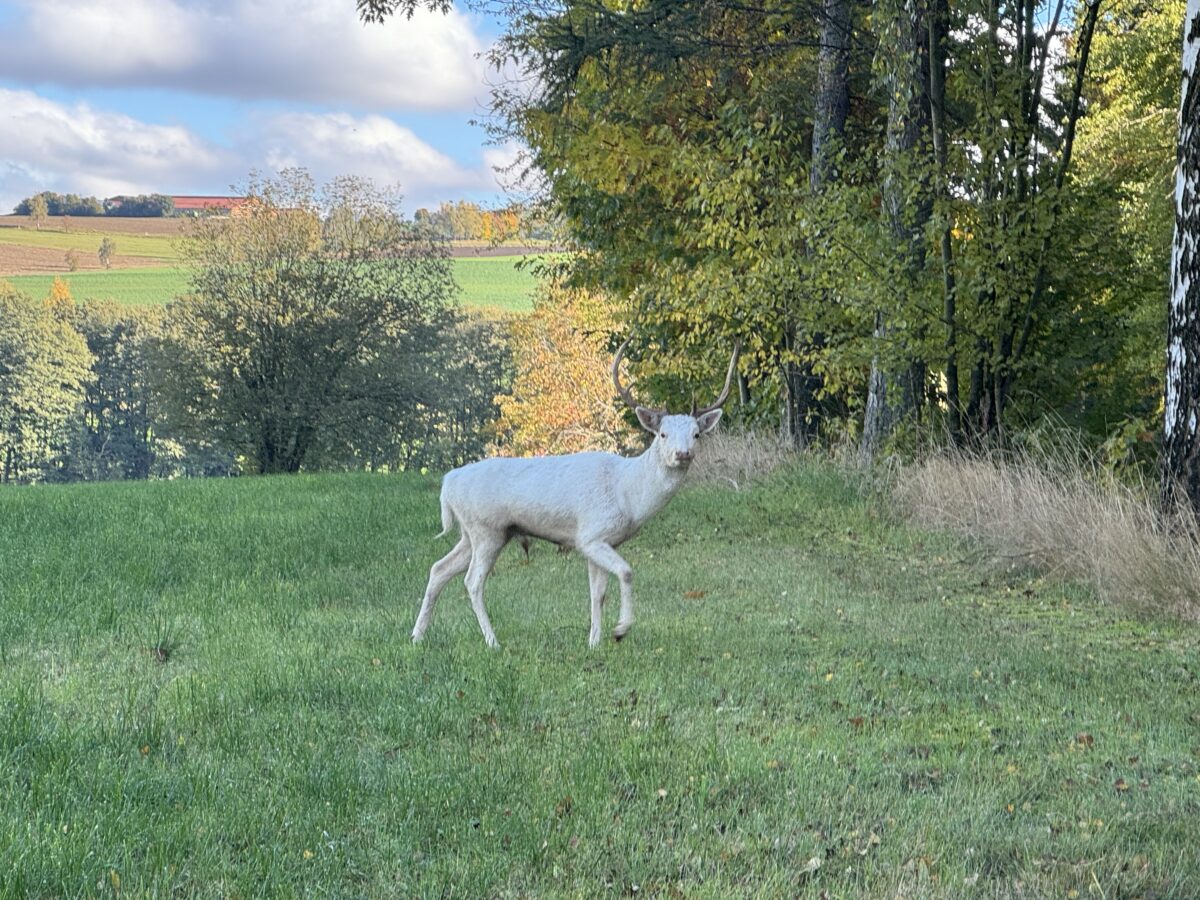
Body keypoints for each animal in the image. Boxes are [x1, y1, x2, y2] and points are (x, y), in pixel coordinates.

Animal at [411, 338, 741, 649]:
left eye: (695, 434)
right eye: (662, 434)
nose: (683, 454)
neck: (628, 496)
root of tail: (448, 483)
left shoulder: (602, 541)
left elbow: (598, 593)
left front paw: (593, 642)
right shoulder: (590, 535)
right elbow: (626, 572)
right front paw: (620, 631)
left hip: (473, 533)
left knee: (439, 568)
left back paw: (417, 636)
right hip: (486, 529)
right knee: (472, 581)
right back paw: (492, 642)